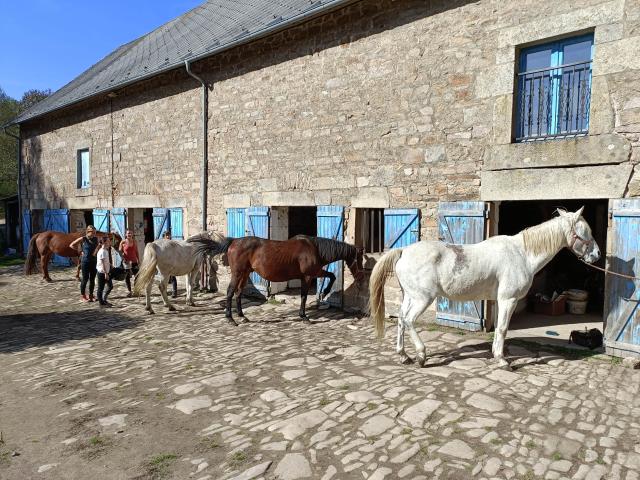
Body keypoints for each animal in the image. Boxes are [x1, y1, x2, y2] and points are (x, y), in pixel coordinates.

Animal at [188, 233, 362, 324]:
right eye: (359, 258)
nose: (360, 274)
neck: (315, 249)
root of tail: (234, 242)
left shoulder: (310, 275)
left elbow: (330, 276)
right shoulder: (309, 275)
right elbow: (306, 295)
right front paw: (305, 314)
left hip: (245, 274)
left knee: (238, 293)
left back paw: (242, 316)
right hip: (238, 273)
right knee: (231, 292)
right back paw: (230, 318)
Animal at [370, 206, 600, 368]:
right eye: (586, 232)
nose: (597, 255)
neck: (522, 254)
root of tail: (404, 251)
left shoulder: (500, 301)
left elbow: (499, 328)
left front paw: (497, 354)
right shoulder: (508, 300)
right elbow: (503, 328)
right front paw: (502, 360)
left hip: (410, 296)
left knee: (401, 320)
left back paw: (404, 356)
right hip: (422, 298)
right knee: (409, 320)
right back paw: (420, 356)